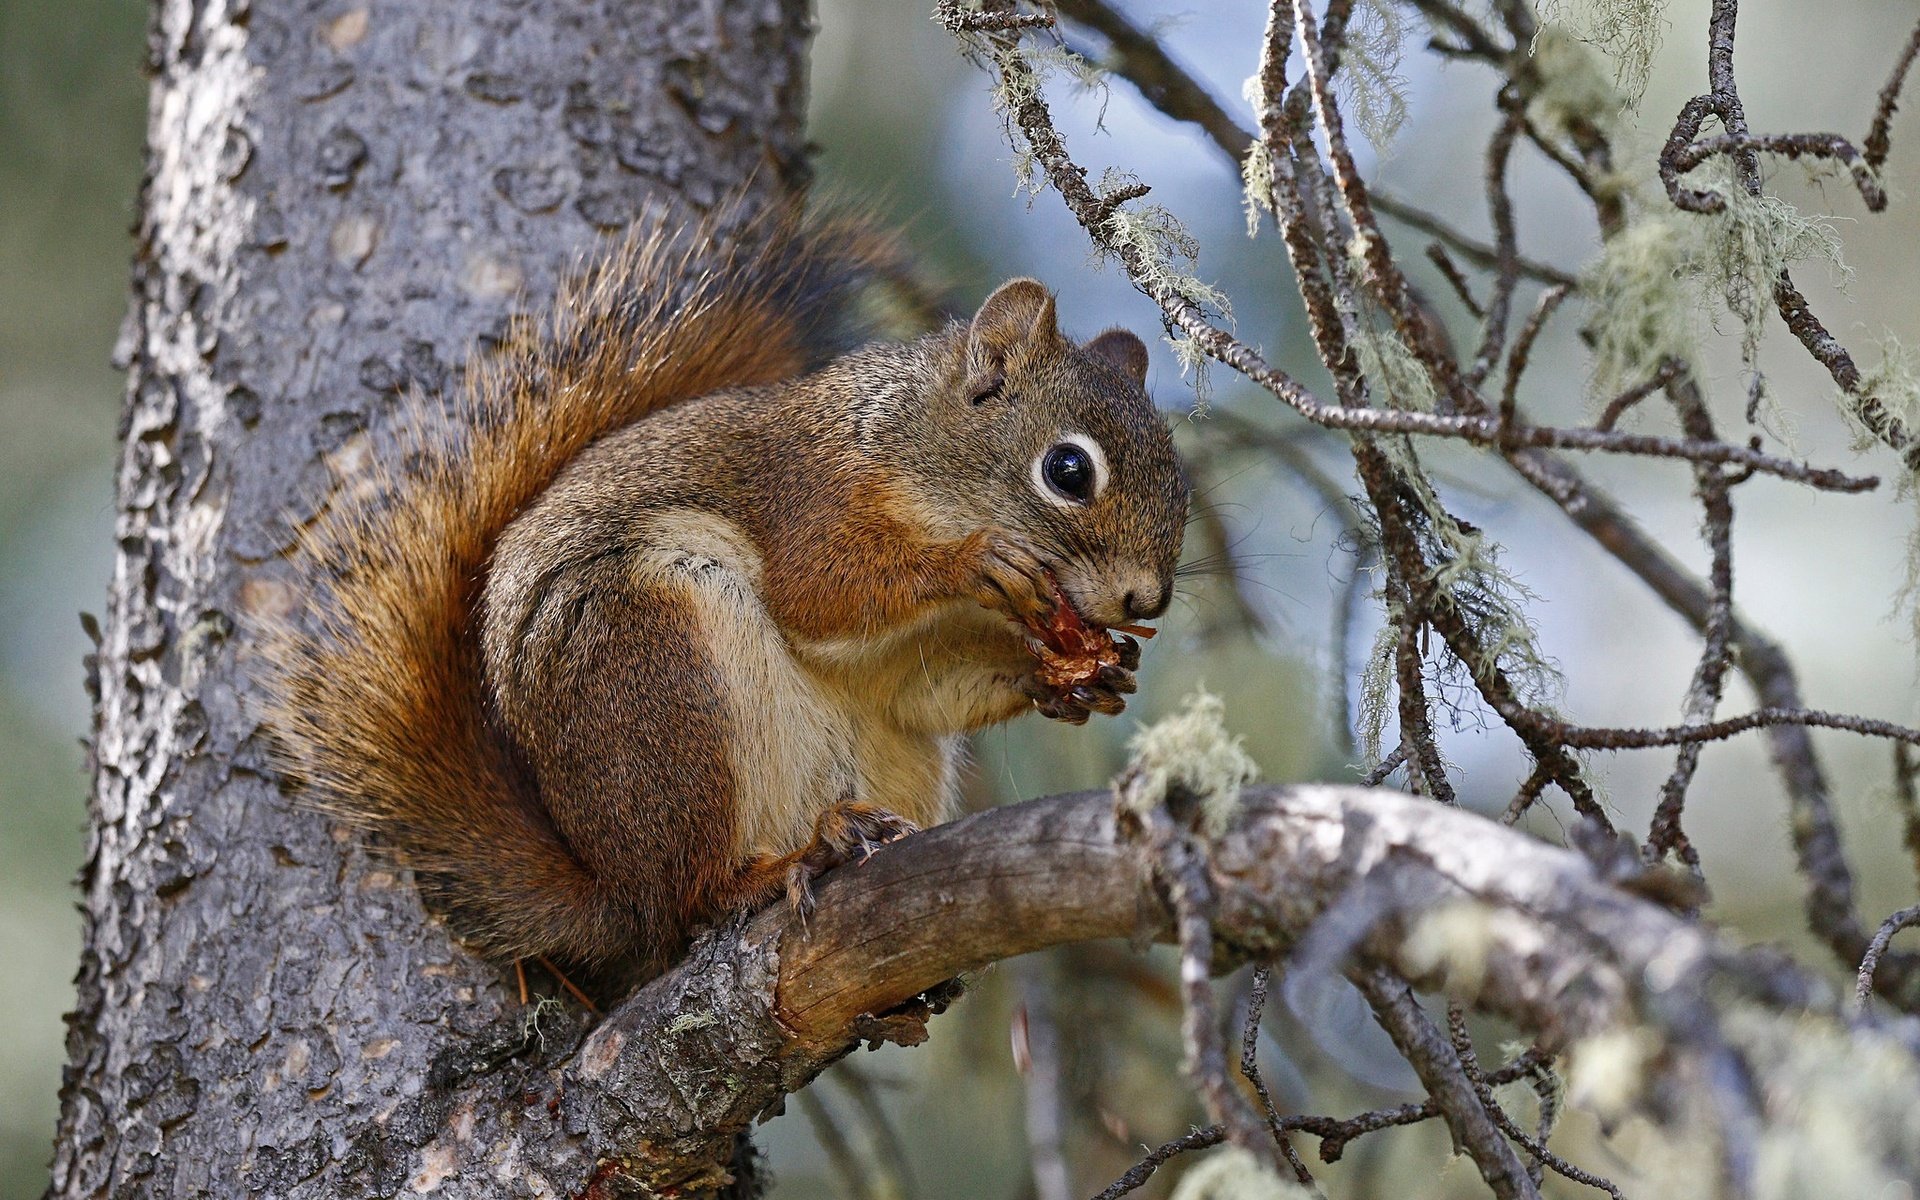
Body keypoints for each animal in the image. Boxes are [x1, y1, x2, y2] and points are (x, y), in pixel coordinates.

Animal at [255, 203, 1182, 975]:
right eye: (1068, 471)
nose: (1147, 603)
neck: (912, 448)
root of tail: (613, 887)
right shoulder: (811, 497)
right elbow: (820, 591)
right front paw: (976, 558)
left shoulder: (910, 661)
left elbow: (923, 688)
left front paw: (1077, 674)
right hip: (656, 668)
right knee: (688, 901)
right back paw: (781, 866)